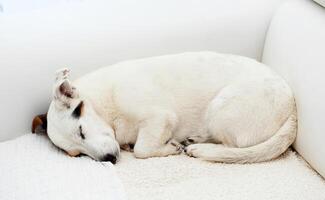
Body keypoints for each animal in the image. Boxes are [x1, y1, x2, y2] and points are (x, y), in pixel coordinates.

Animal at [31, 52, 296, 164]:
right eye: (77, 154)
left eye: (82, 131)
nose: (109, 160)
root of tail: (293, 107)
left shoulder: (160, 117)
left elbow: (142, 149)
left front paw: (168, 148)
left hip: (220, 108)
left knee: (232, 147)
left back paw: (199, 147)